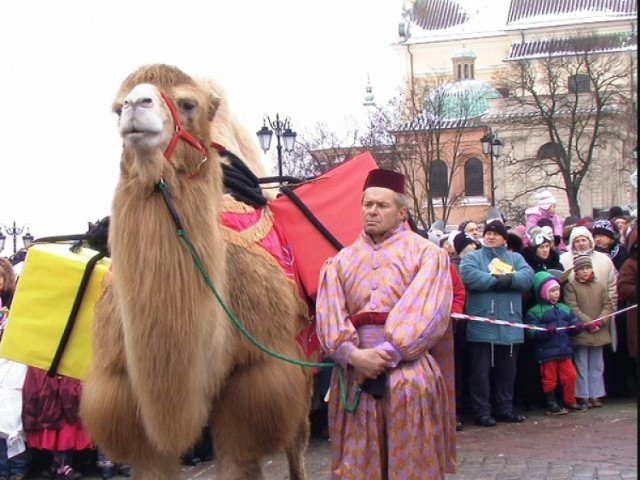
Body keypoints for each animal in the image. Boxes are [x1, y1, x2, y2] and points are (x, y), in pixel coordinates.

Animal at [81, 64, 312, 480]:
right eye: (117, 107)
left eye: (188, 104)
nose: (136, 106)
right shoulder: (124, 397)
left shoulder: (256, 381)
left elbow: (241, 461)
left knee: (297, 440)